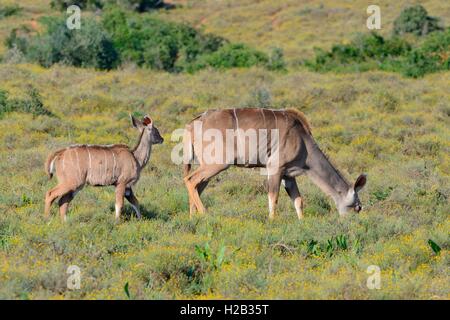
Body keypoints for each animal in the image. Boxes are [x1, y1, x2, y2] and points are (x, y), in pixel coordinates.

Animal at [183, 109, 366, 219]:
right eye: (357, 206)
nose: (354, 220)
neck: (302, 140)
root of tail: (192, 124)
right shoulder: (274, 168)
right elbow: (273, 198)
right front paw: (272, 222)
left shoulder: (288, 175)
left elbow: (298, 200)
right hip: (217, 164)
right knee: (190, 180)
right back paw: (205, 214)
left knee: (196, 185)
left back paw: (193, 218)